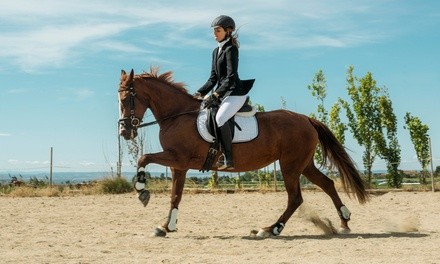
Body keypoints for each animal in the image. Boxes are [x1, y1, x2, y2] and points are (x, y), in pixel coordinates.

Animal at [117, 67, 368, 237]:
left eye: (127, 99)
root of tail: (306, 119)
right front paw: (166, 226)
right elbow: (175, 195)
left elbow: (144, 158)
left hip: (290, 166)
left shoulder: (178, 158)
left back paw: (270, 229)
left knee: (295, 198)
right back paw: (344, 222)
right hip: (303, 164)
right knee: (327, 184)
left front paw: (142, 191)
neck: (177, 116)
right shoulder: (179, 165)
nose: (124, 132)